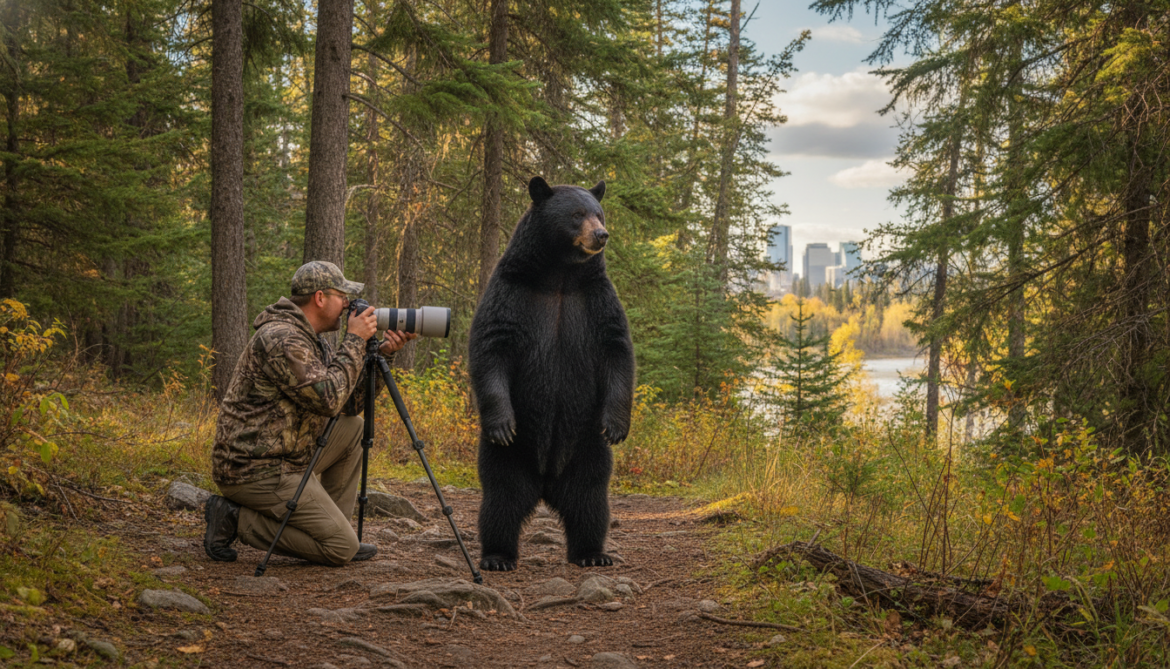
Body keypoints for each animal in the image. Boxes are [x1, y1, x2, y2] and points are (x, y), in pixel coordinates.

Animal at [468, 176, 635, 572]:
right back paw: (497, 555)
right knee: (501, 497)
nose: (601, 235)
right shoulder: (512, 292)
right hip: (512, 456)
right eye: (576, 214)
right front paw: (502, 422)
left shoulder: (595, 299)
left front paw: (618, 425)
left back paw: (592, 553)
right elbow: (492, 347)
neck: (560, 275)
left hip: (587, 443)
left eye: (598, 212)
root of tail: (546, 483)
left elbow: (617, 350)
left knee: (590, 499)